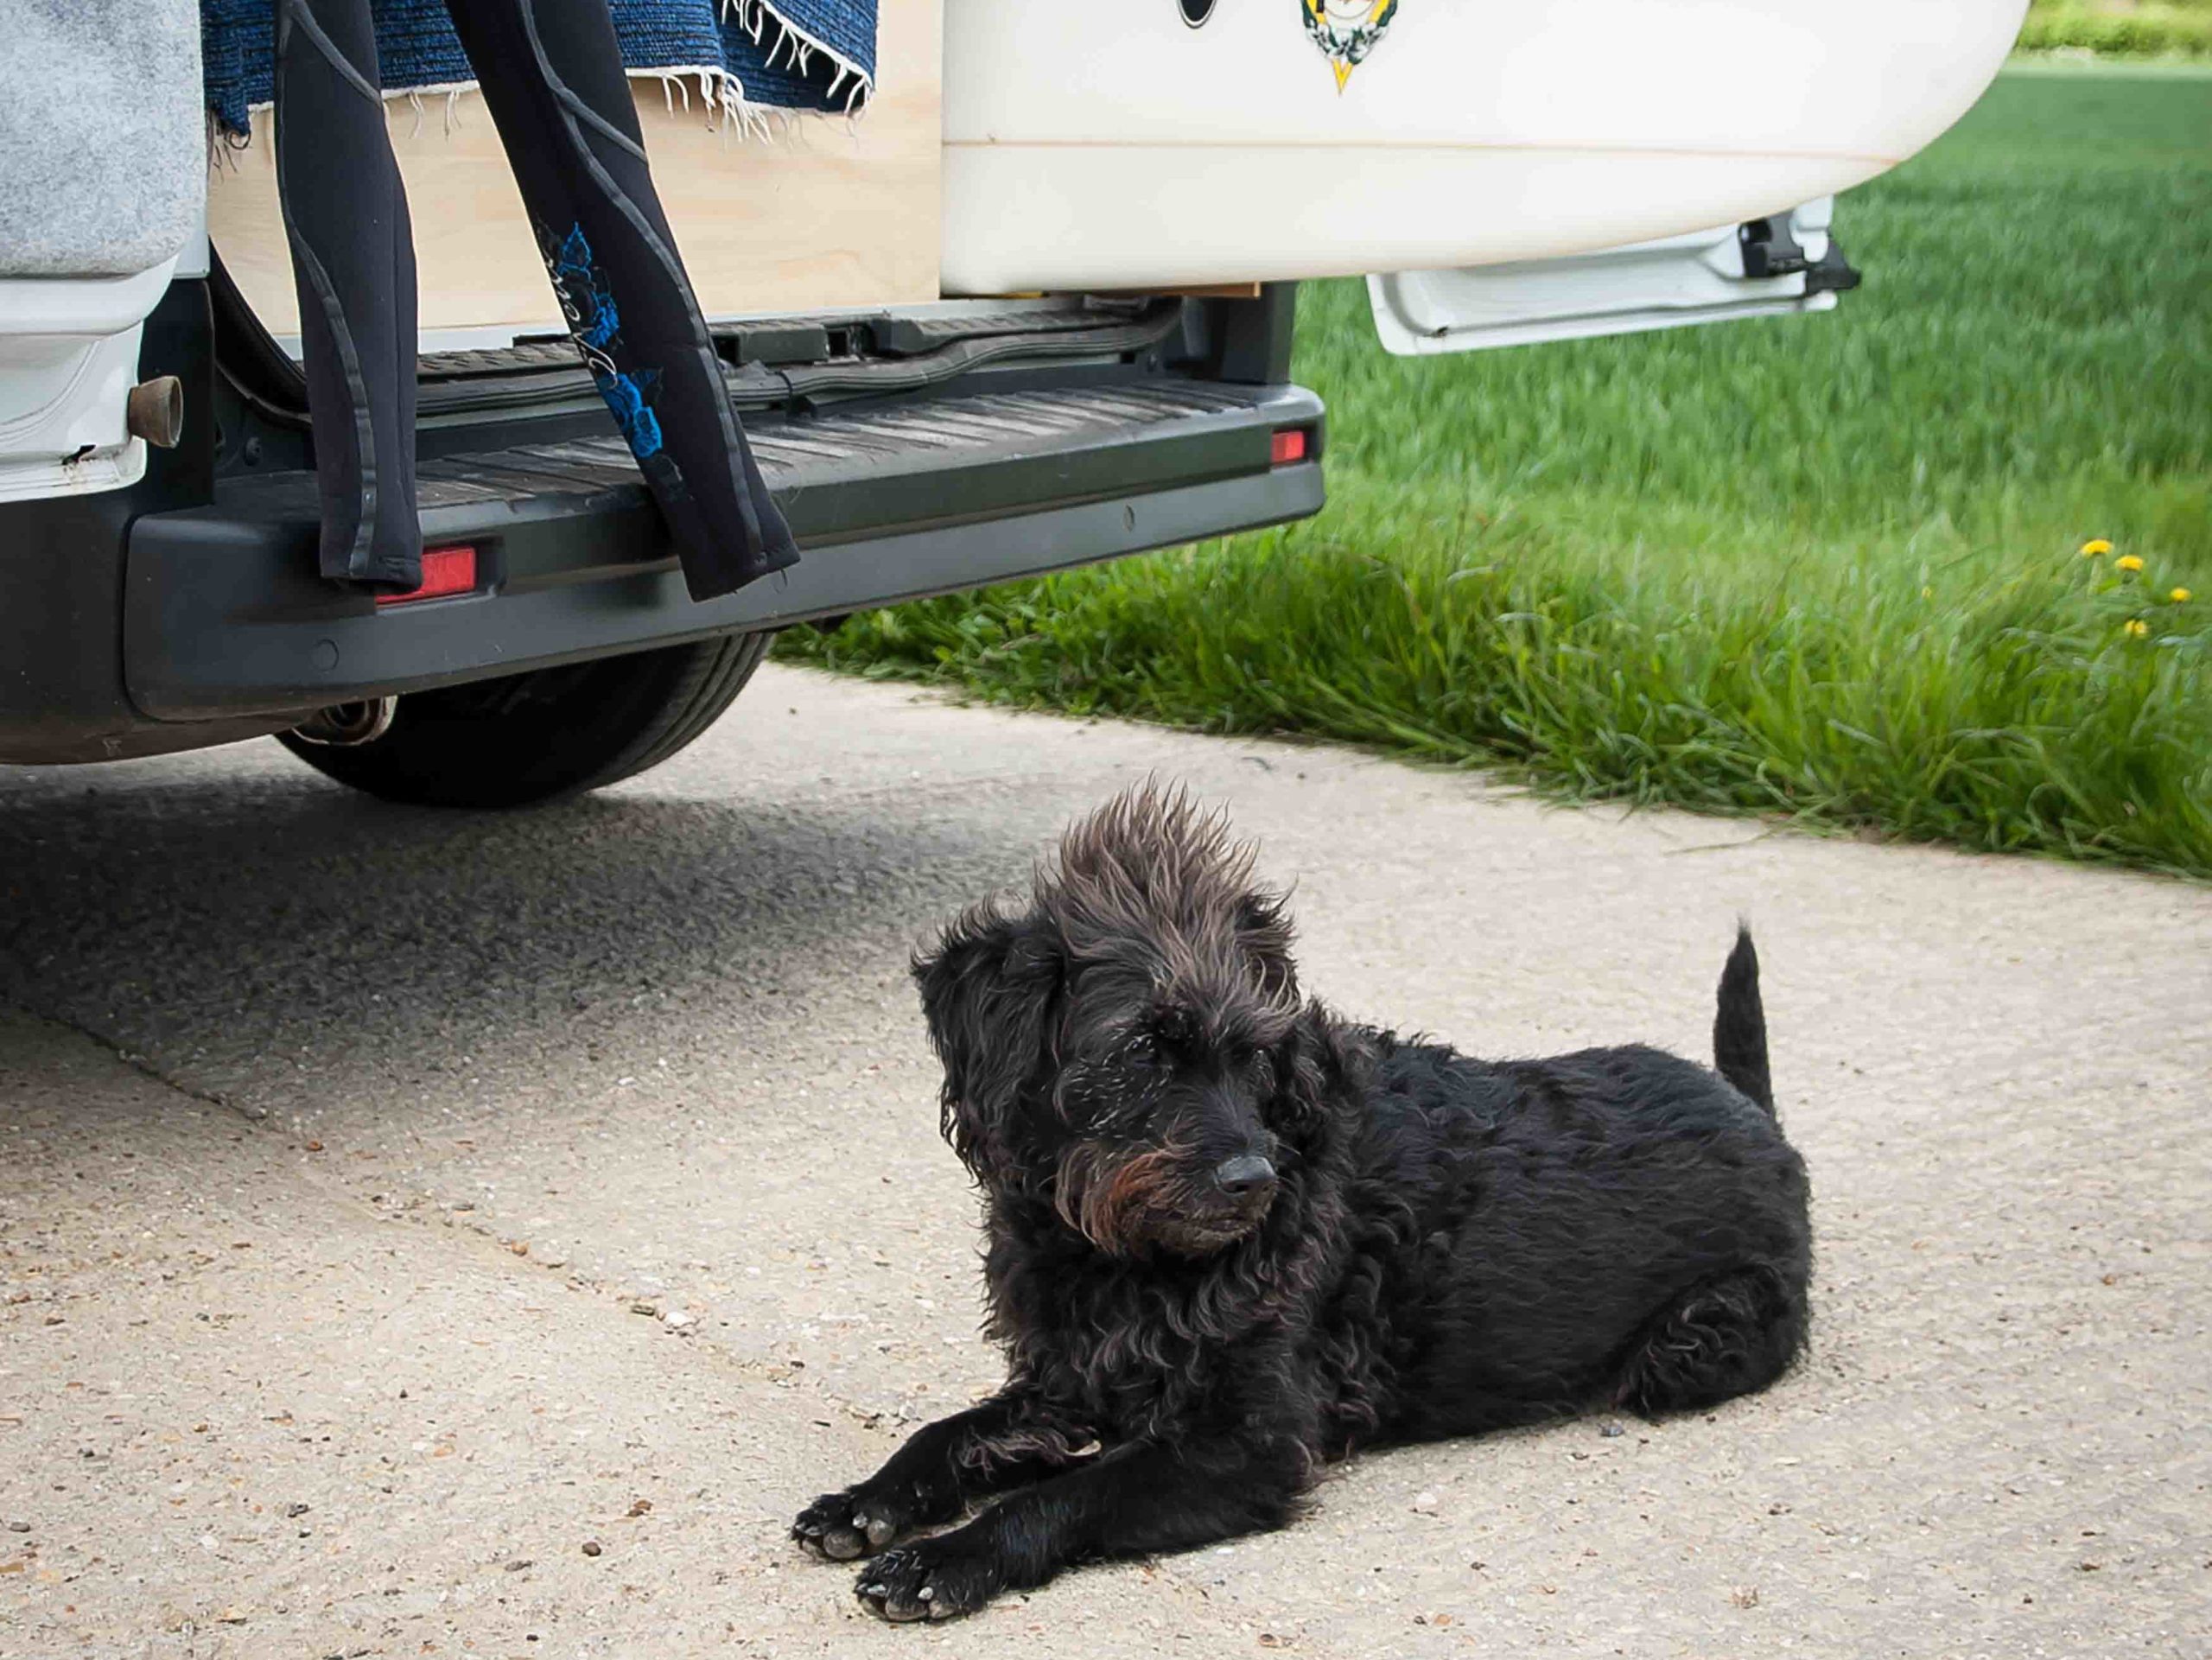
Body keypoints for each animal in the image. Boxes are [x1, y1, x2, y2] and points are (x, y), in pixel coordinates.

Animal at [796, 787, 1814, 1629]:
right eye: (1141, 1050)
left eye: (1253, 1054)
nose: (1253, 1180)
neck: (1117, 1254)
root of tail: (1756, 1112)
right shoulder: (1067, 1383)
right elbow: (948, 1433)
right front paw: (868, 1500)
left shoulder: (1246, 1445)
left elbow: (1058, 1497)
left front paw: (945, 1558)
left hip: (1691, 1348)